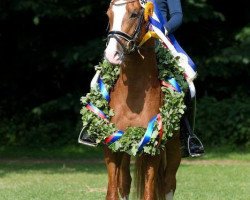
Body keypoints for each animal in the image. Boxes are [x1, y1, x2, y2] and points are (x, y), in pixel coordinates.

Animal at [102, 0, 181, 199]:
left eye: (134, 14)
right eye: (109, 15)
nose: (112, 54)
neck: (134, 98)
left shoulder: (153, 149)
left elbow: (149, 191)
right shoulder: (112, 146)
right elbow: (113, 190)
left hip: (174, 147)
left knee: (169, 183)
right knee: (124, 182)